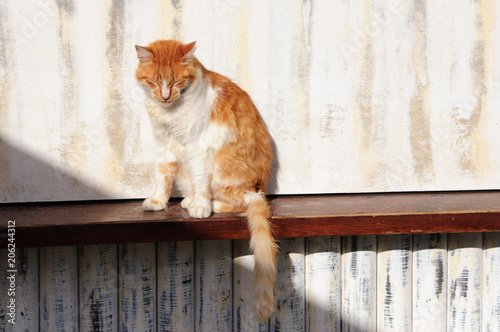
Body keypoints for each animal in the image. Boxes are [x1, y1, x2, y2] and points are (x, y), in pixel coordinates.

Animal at [136, 39, 278, 322]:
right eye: (155, 82)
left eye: (177, 81)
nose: (165, 96)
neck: (170, 114)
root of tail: (260, 188)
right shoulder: (164, 145)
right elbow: (161, 175)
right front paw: (158, 201)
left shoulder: (199, 147)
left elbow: (200, 180)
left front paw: (201, 207)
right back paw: (188, 199)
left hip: (226, 175)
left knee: (241, 202)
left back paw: (206, 204)